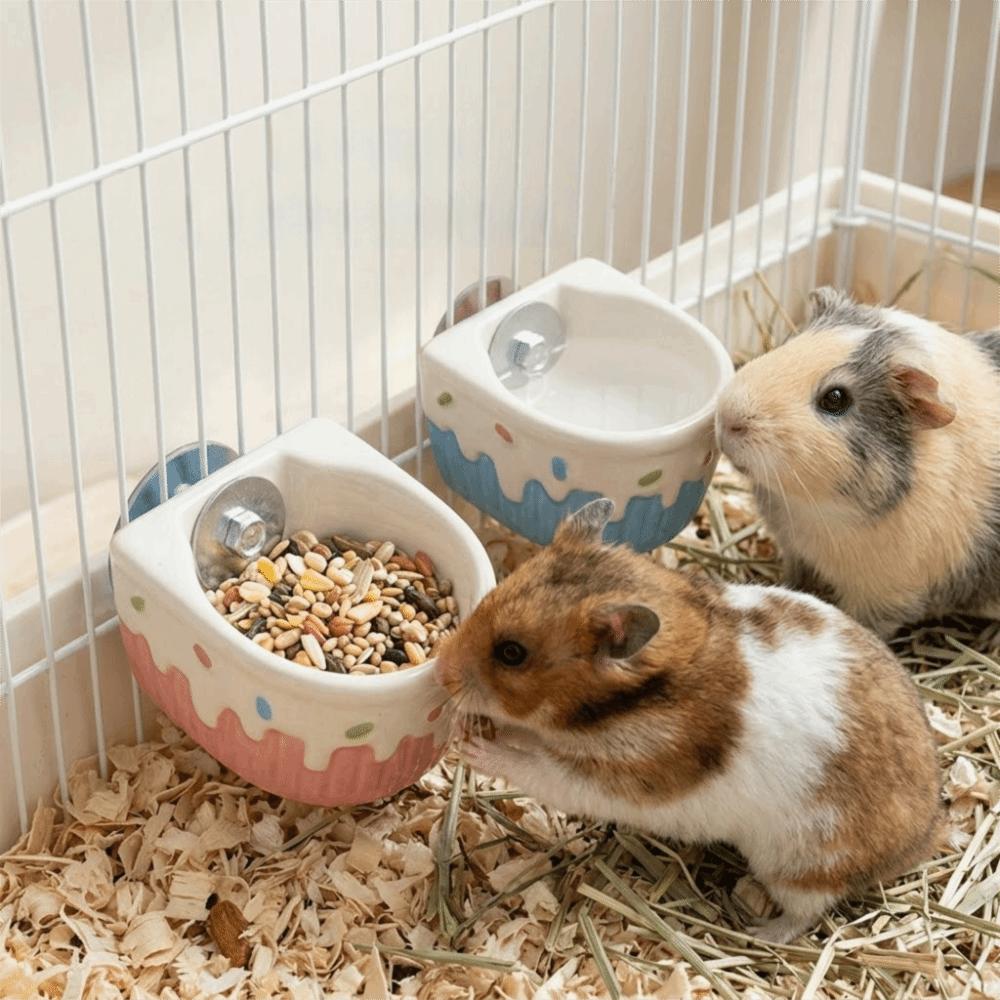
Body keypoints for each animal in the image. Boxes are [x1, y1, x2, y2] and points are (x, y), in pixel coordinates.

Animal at [434, 498, 942, 944]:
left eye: (511, 653)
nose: (441, 671)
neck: (628, 701)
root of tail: (926, 836)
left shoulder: (619, 778)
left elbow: (536, 767)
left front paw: (470, 746)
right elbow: (524, 737)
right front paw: (462, 729)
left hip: (802, 863)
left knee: (809, 911)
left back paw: (758, 932)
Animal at [716, 288, 1000, 637]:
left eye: (835, 398)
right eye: (789, 343)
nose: (728, 417)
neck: (817, 510)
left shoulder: (884, 598)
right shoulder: (795, 551)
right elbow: (794, 578)